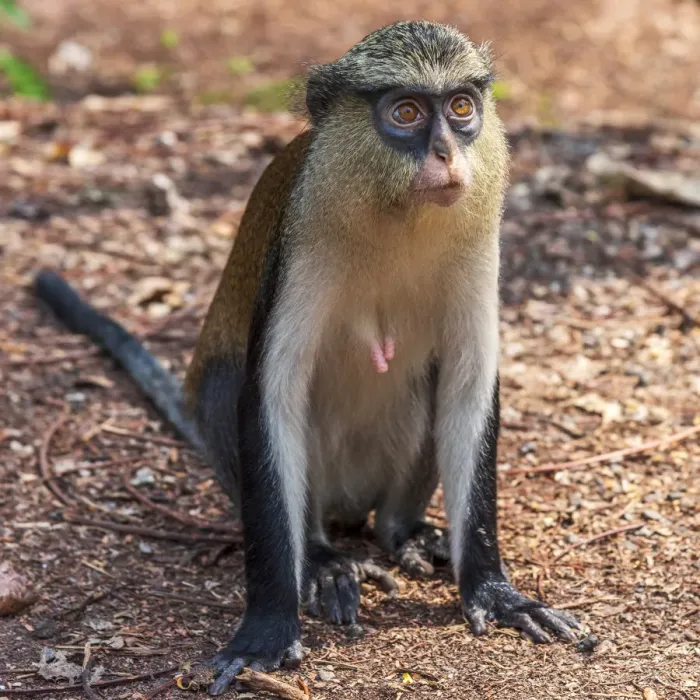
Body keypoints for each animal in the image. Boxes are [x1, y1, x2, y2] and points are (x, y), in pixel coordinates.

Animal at [34, 21, 581, 696]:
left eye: (460, 107)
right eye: (405, 113)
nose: (446, 155)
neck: (397, 214)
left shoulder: (480, 248)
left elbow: (467, 385)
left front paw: (495, 592)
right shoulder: (298, 245)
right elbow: (271, 394)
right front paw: (268, 628)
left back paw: (404, 532)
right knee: (228, 390)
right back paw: (321, 559)